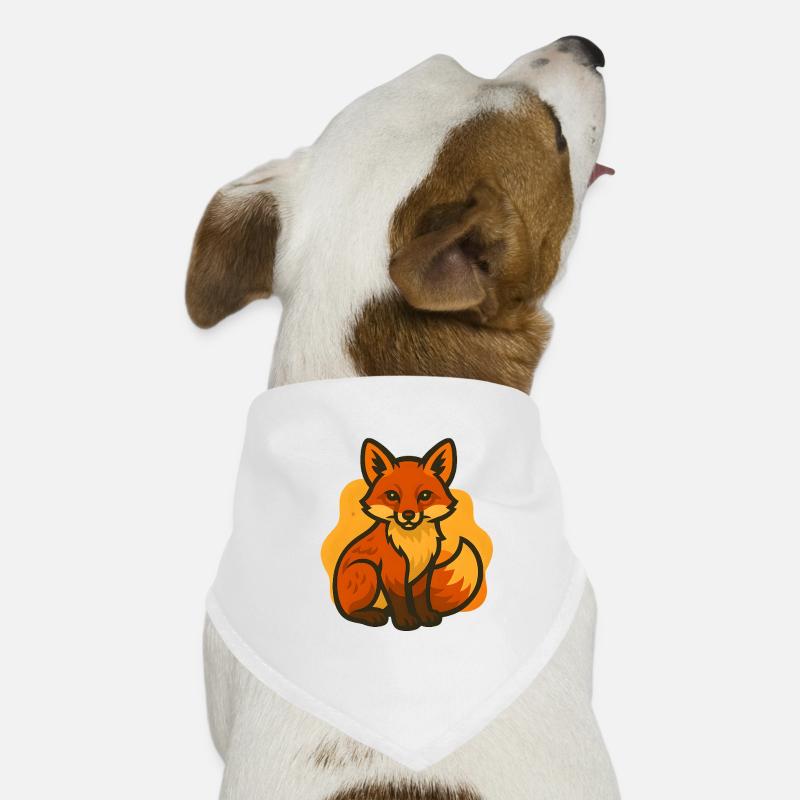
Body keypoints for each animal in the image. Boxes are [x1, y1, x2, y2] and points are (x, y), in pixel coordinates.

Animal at [333, 437, 484, 631]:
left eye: (425, 495)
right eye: (392, 495)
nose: (408, 515)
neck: (413, 544)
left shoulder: (424, 572)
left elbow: (420, 598)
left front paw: (425, 617)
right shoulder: (393, 572)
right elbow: (400, 600)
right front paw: (405, 621)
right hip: (367, 568)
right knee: (350, 611)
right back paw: (371, 615)